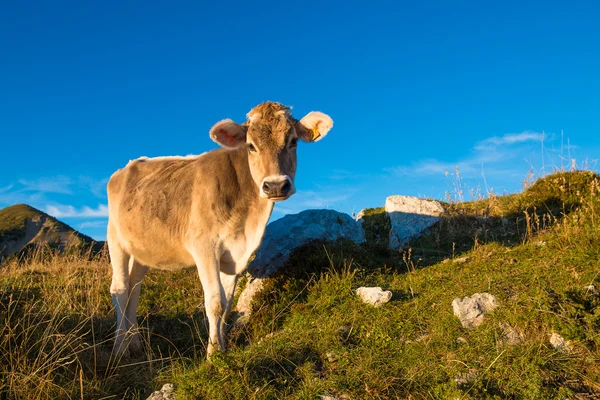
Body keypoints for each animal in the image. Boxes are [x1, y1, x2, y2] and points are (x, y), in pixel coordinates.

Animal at [106, 102, 332, 356]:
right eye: (251, 146)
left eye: (293, 141)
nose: (275, 185)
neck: (248, 220)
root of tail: (129, 166)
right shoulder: (204, 247)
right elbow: (215, 302)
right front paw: (213, 355)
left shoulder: (236, 254)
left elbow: (227, 304)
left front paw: (223, 349)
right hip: (116, 240)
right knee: (120, 289)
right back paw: (120, 348)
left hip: (143, 249)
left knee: (134, 289)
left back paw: (134, 343)